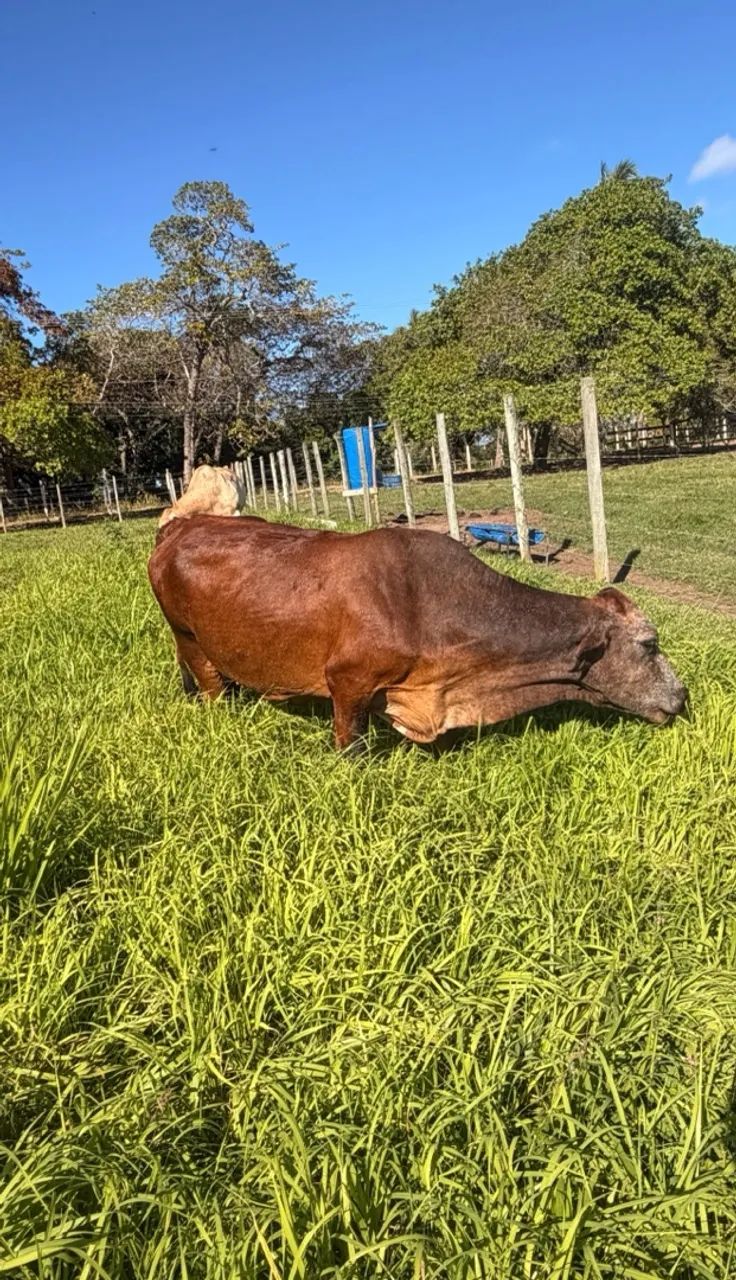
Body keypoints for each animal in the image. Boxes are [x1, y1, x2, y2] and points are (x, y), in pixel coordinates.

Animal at [147, 516, 687, 750]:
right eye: (649, 644)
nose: (682, 696)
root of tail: (180, 525)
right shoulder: (348, 683)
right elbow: (351, 746)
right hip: (188, 637)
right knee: (211, 686)